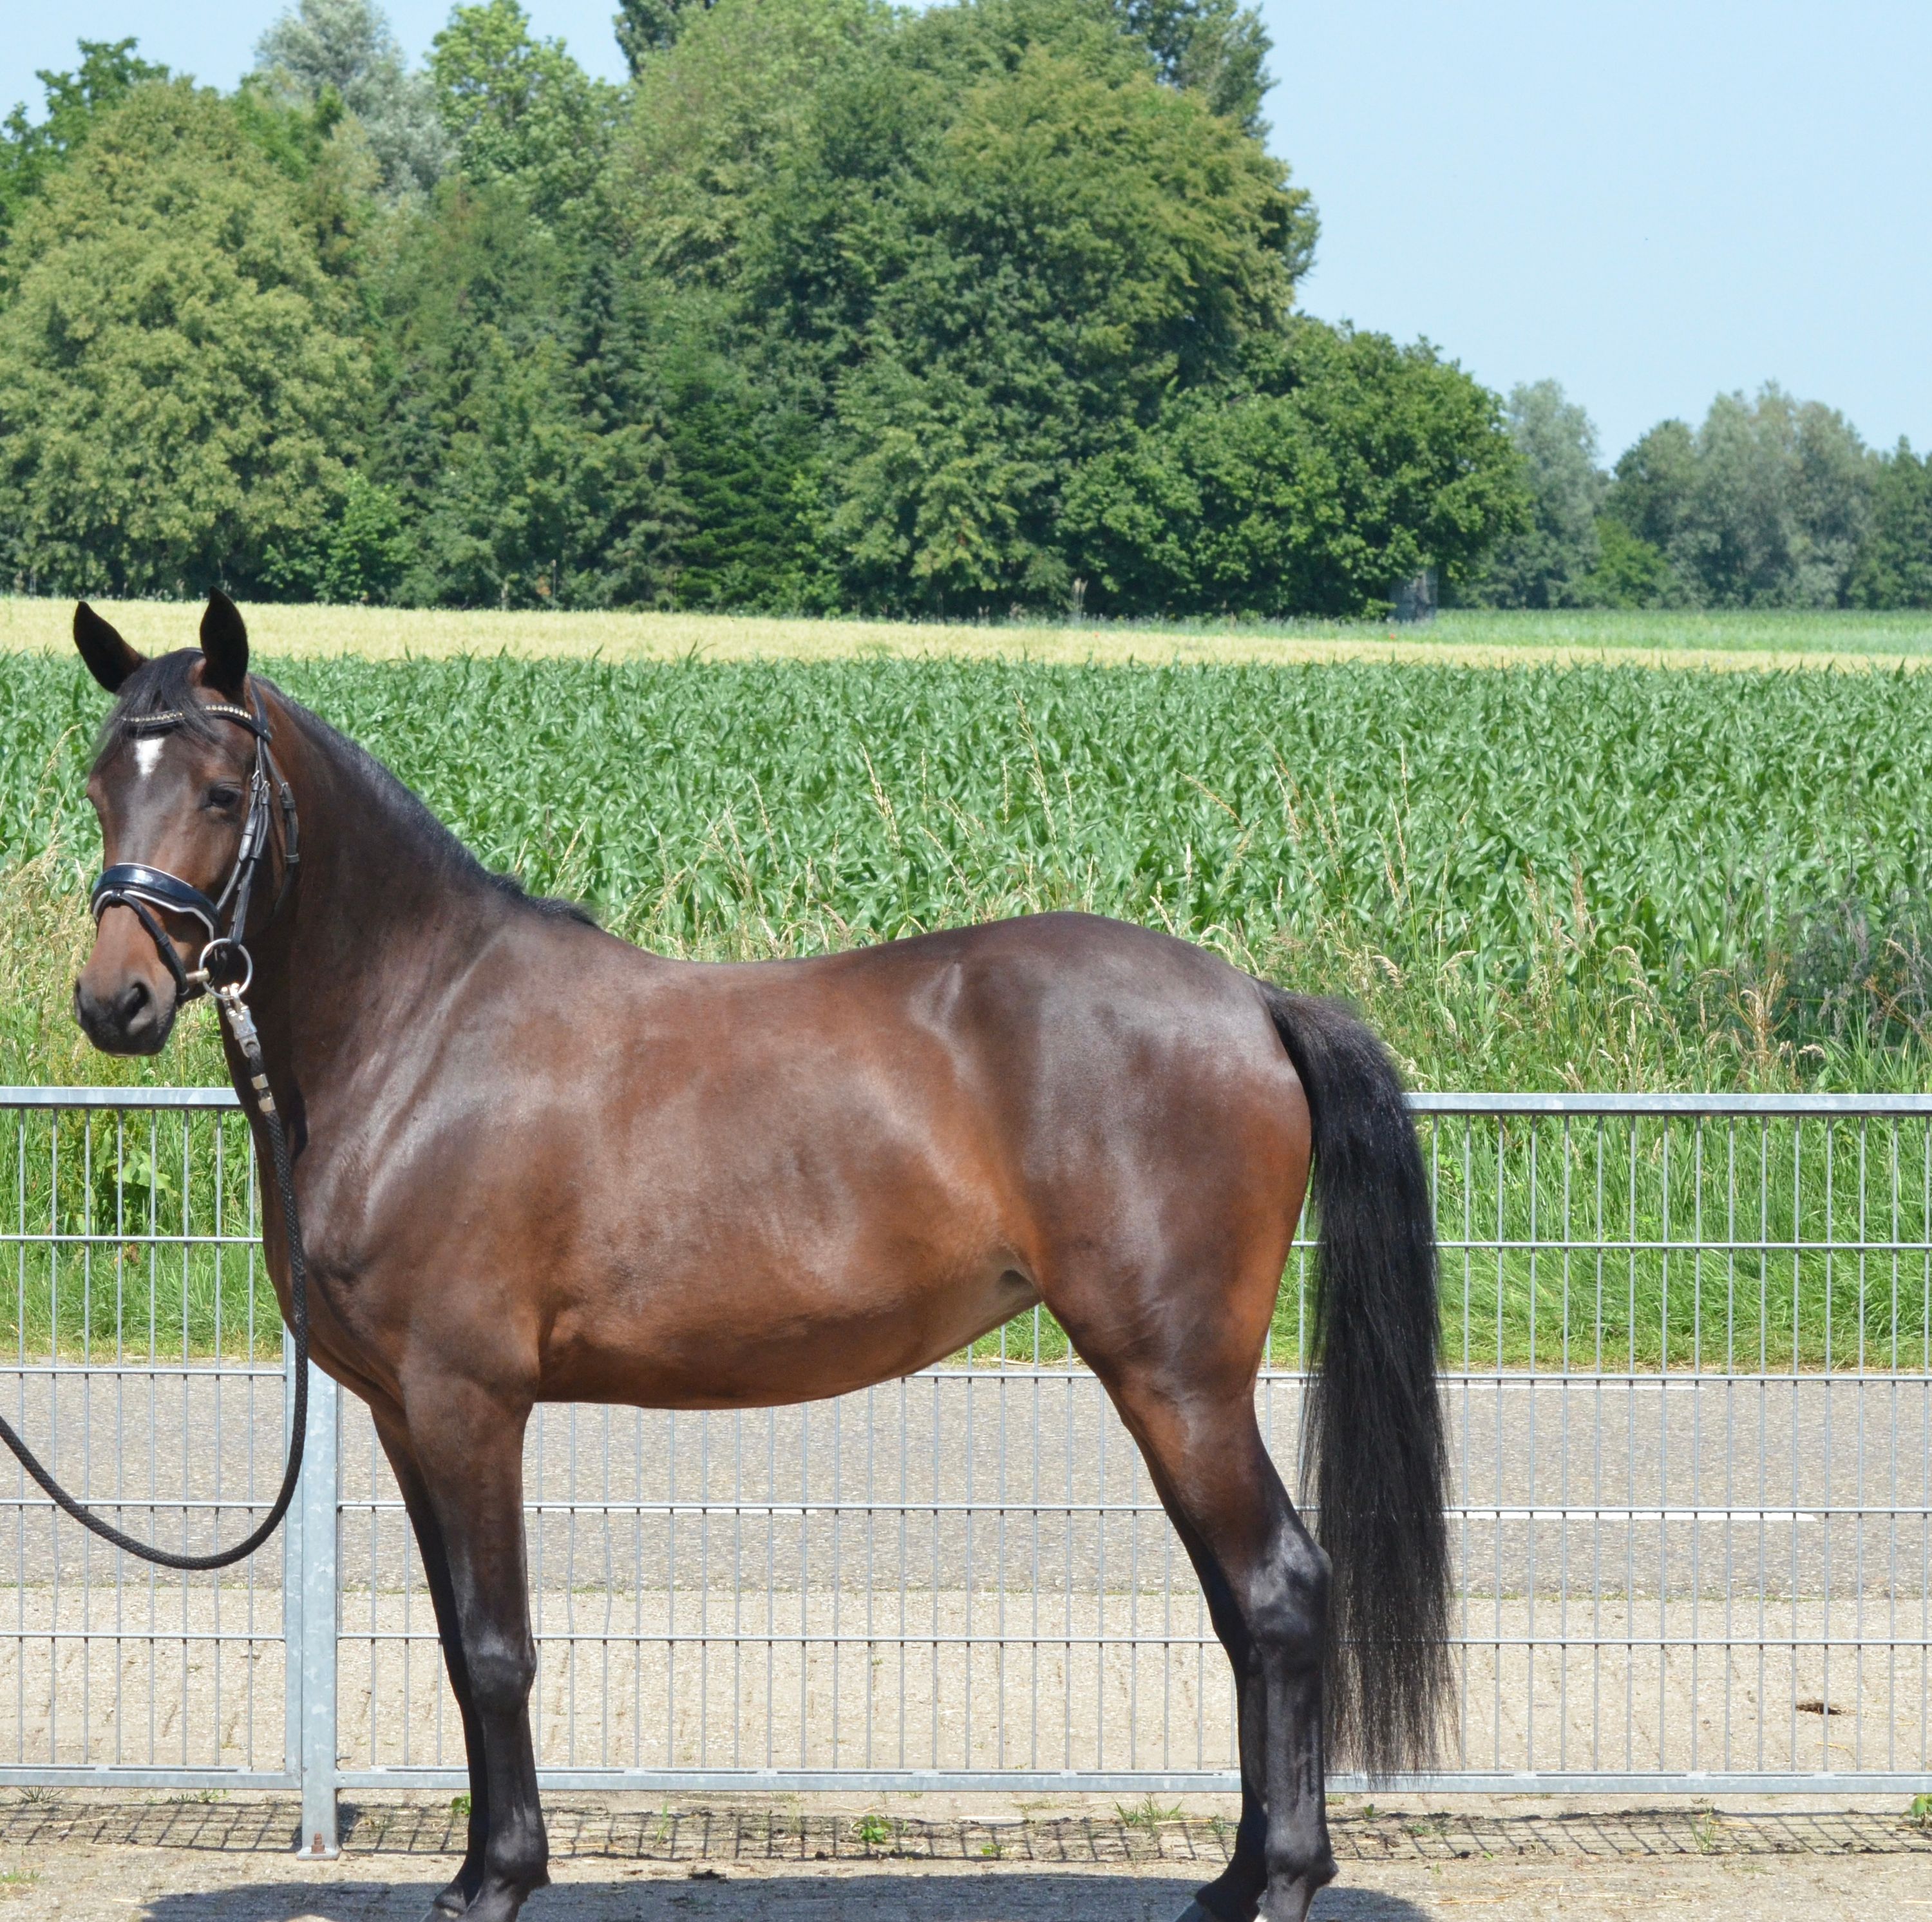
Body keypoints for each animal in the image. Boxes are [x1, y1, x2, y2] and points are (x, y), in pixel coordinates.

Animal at [68, 595, 1448, 1922]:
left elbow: (500, 1644)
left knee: (1278, 1590)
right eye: (97, 781)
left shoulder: (472, 1402)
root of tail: (1252, 1001)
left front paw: (504, 1875)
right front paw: (468, 1870)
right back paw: (1232, 1875)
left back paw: (1280, 1877)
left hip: (1178, 1379)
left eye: (221, 792)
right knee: (1239, 1606)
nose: (113, 1001)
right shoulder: (406, 1416)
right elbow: (461, 1648)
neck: (424, 1032)